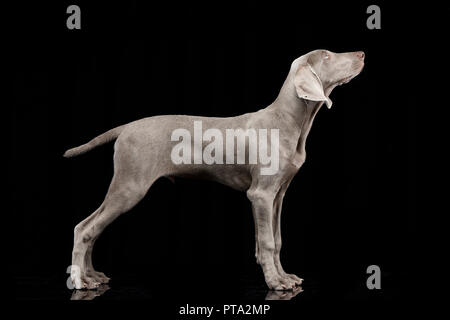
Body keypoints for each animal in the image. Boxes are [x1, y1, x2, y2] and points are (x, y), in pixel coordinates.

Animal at [65, 49, 364, 290]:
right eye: (326, 56)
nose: (361, 53)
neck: (288, 121)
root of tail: (126, 127)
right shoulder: (260, 195)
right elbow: (267, 242)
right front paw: (275, 282)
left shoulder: (278, 195)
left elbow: (276, 240)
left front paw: (284, 276)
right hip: (129, 187)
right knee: (85, 228)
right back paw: (80, 281)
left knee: (91, 228)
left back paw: (92, 276)